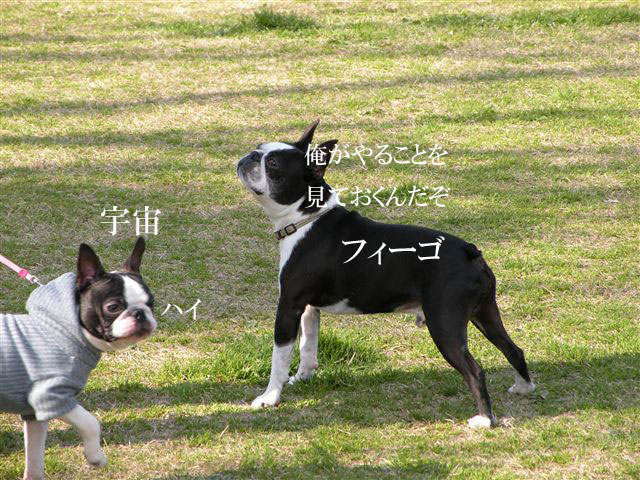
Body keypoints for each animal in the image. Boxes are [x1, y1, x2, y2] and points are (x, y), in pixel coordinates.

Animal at [0, 238, 156, 480]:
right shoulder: (51, 396)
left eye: (152, 303)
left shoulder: (34, 414)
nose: (141, 314)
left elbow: (35, 456)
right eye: (113, 307)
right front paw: (95, 456)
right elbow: (91, 422)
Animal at [236, 120, 535, 428]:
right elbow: (309, 345)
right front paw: (303, 377)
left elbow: (280, 355)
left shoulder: (289, 305)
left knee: (475, 371)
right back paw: (523, 387)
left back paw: (485, 419)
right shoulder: (308, 307)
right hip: (484, 313)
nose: (250, 156)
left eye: (272, 163)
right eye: (259, 149)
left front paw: (270, 397)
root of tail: (470, 251)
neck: (306, 218)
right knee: (513, 348)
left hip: (444, 323)